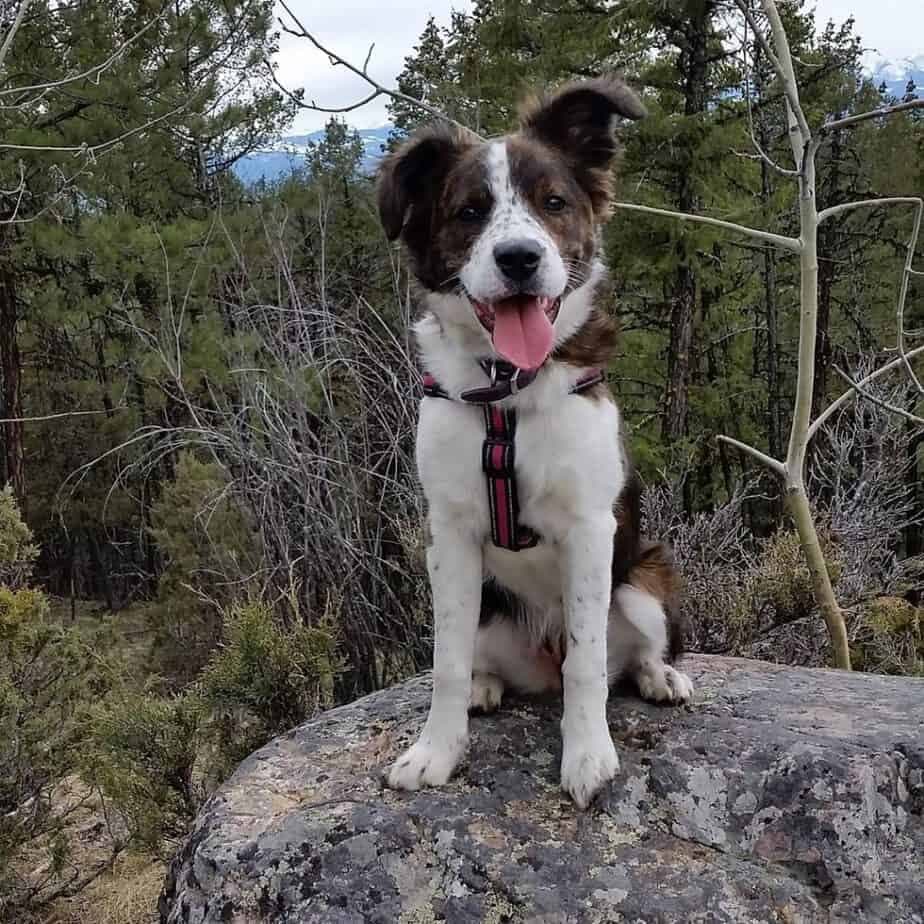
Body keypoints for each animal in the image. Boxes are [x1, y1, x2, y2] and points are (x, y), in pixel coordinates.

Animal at [376, 76, 692, 804]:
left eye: (554, 203)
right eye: (469, 211)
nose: (519, 258)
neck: (508, 394)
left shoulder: (591, 529)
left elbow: (587, 664)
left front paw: (587, 755)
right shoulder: (449, 535)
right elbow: (444, 660)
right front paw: (436, 750)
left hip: (644, 582)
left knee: (625, 654)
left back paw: (659, 676)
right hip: (492, 611)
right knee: (479, 656)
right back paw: (486, 687)